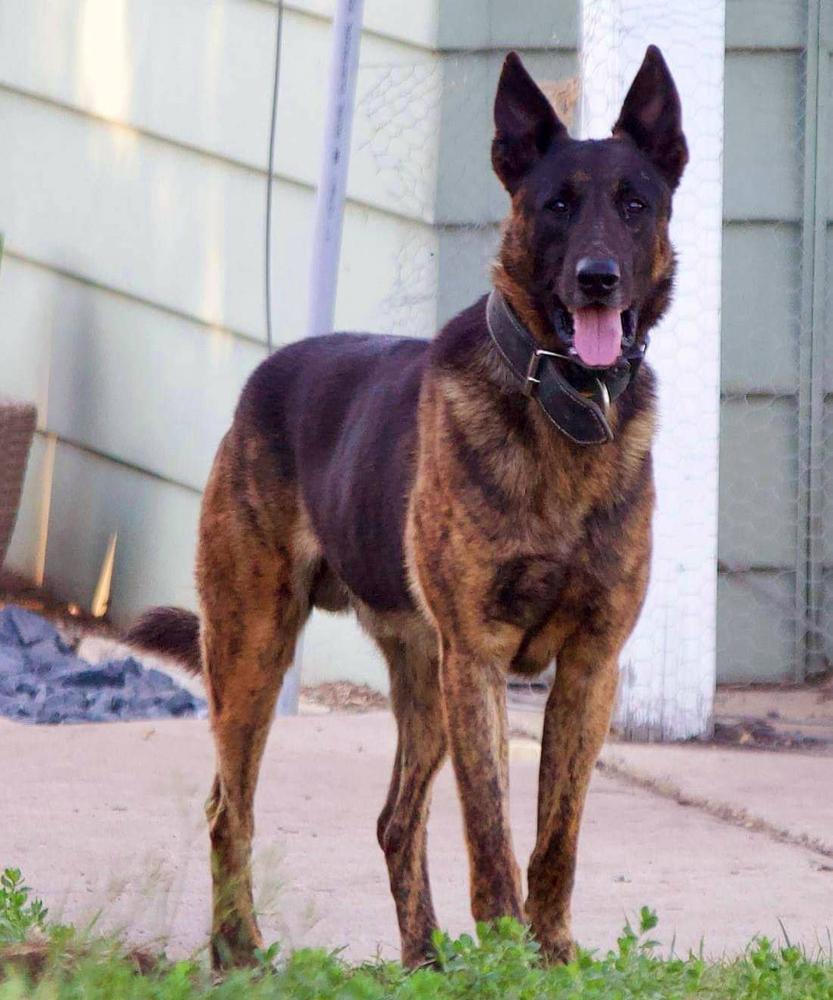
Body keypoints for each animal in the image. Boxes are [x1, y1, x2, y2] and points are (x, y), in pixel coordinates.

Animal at [128, 45, 684, 968]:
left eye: (634, 204)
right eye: (556, 206)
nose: (597, 281)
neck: (558, 413)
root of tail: (262, 376)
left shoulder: (588, 666)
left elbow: (555, 837)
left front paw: (549, 954)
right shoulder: (478, 660)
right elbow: (492, 832)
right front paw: (505, 959)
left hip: (420, 678)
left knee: (395, 820)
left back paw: (423, 959)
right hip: (255, 648)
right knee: (228, 809)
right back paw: (238, 951)